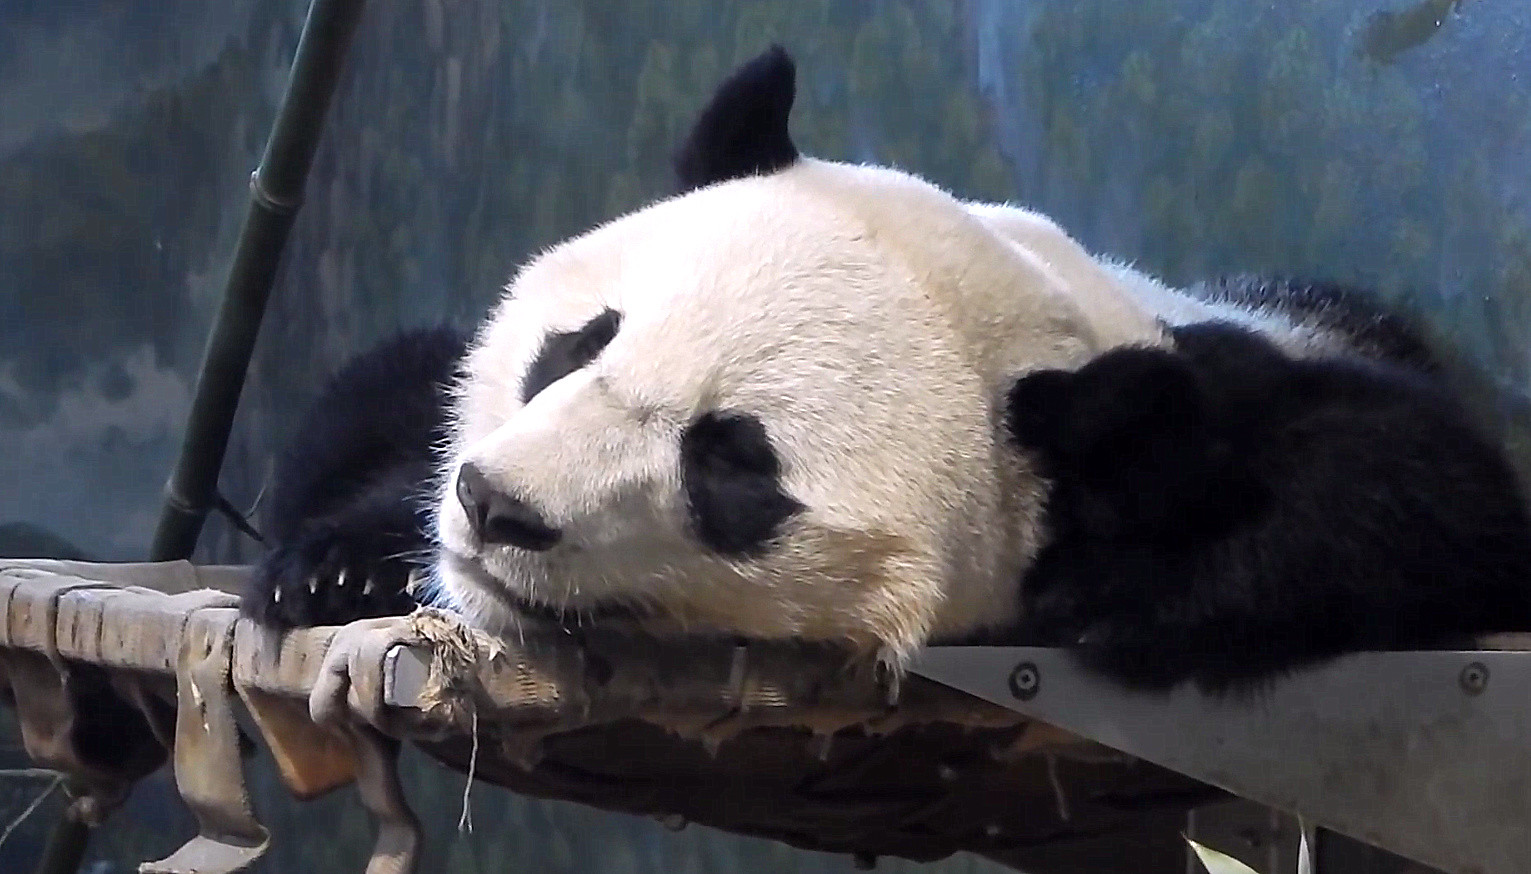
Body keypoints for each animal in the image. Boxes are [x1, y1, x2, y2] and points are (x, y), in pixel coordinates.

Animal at [243, 45, 1531, 693]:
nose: (497, 506)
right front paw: (344, 565)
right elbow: (386, 397)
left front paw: (1122, 600)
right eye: (580, 344)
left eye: (730, 461)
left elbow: (1421, 492)